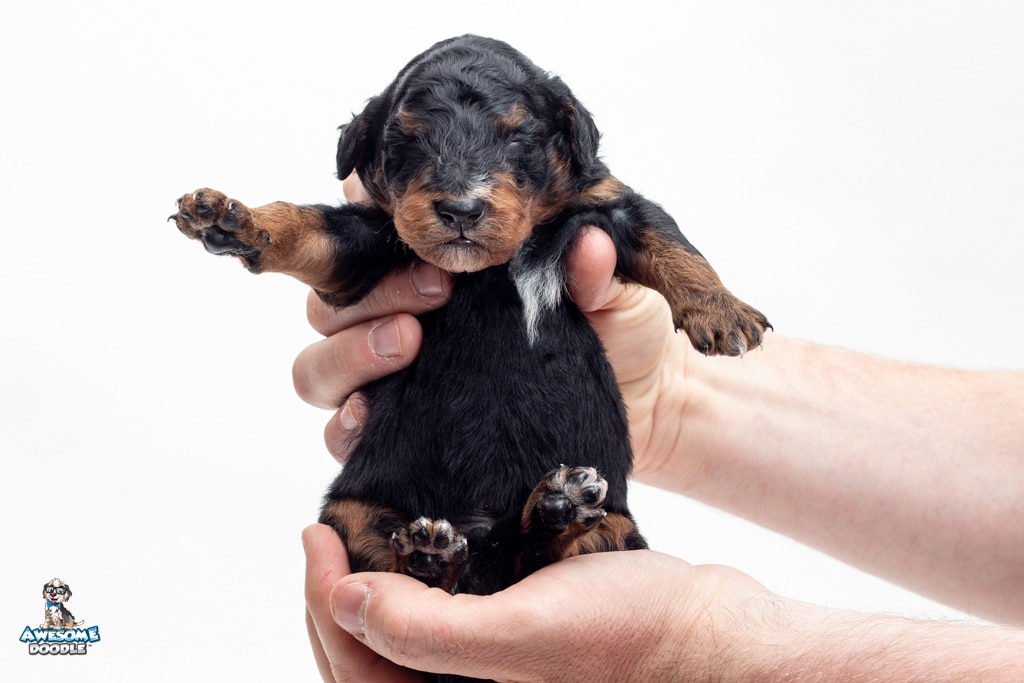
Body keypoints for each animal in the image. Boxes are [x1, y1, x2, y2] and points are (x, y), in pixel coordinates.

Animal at [172, 34, 768, 680]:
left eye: (516, 137)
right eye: (407, 139)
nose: (460, 209)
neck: (487, 270)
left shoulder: (608, 203)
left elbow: (673, 241)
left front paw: (723, 312)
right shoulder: (368, 243)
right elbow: (312, 230)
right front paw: (233, 218)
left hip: (615, 527)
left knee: (545, 556)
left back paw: (557, 509)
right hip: (356, 512)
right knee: (414, 562)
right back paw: (435, 555)